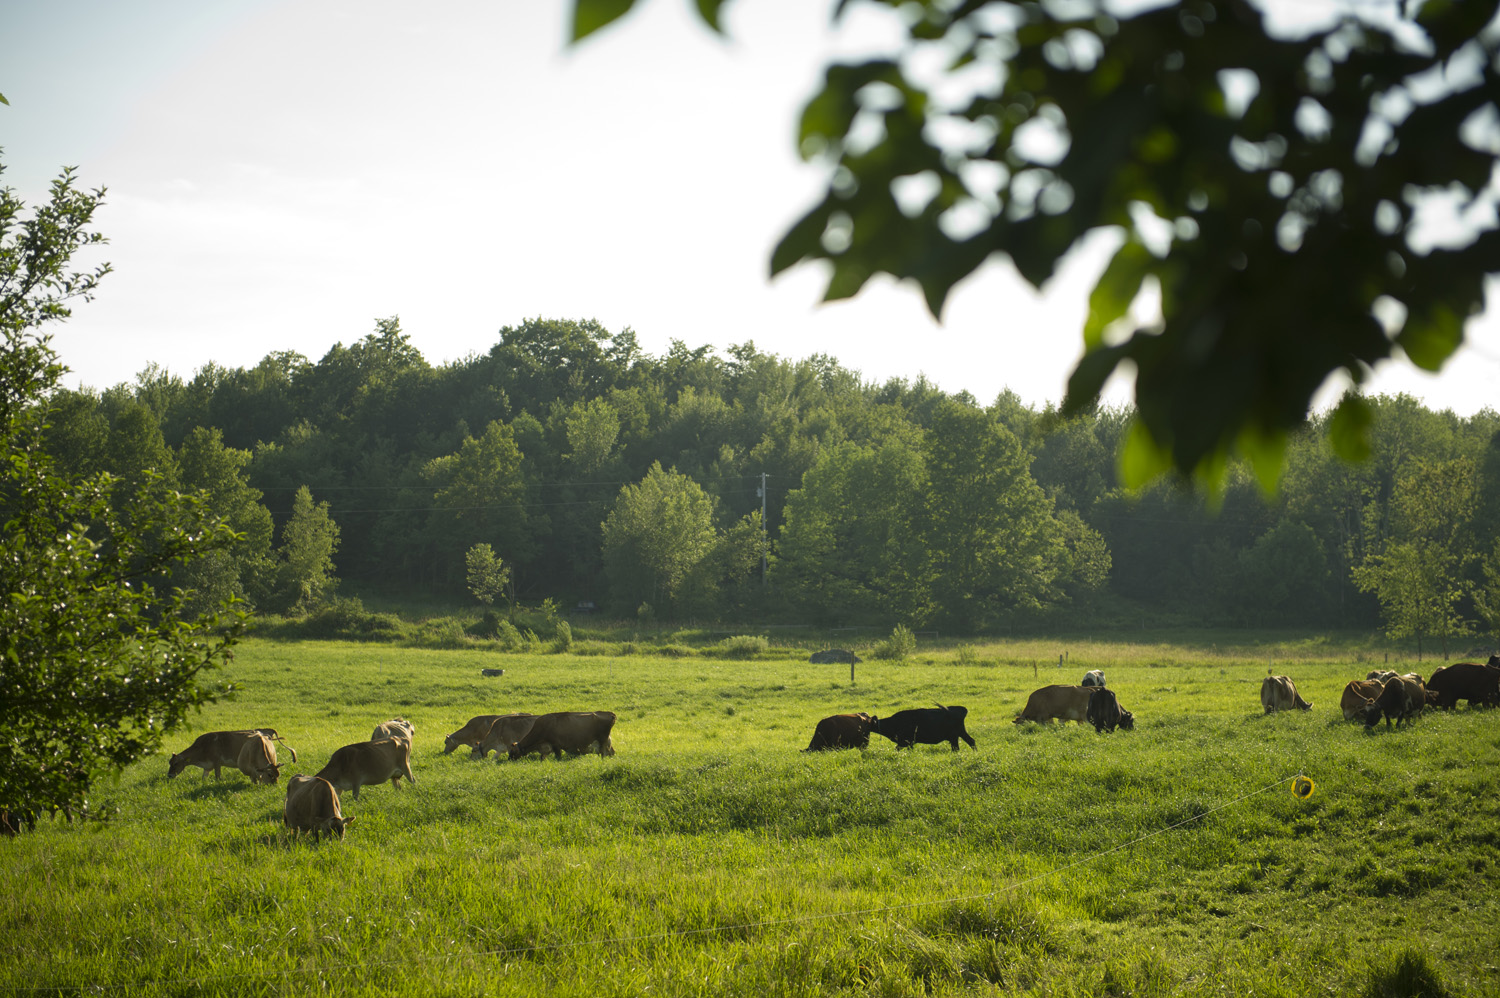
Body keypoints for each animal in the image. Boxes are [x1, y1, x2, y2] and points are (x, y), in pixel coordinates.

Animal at [167, 729, 298, 780]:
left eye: (176, 763)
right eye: (170, 762)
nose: (169, 775)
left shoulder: (217, 762)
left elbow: (218, 777)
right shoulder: (207, 767)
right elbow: (204, 778)